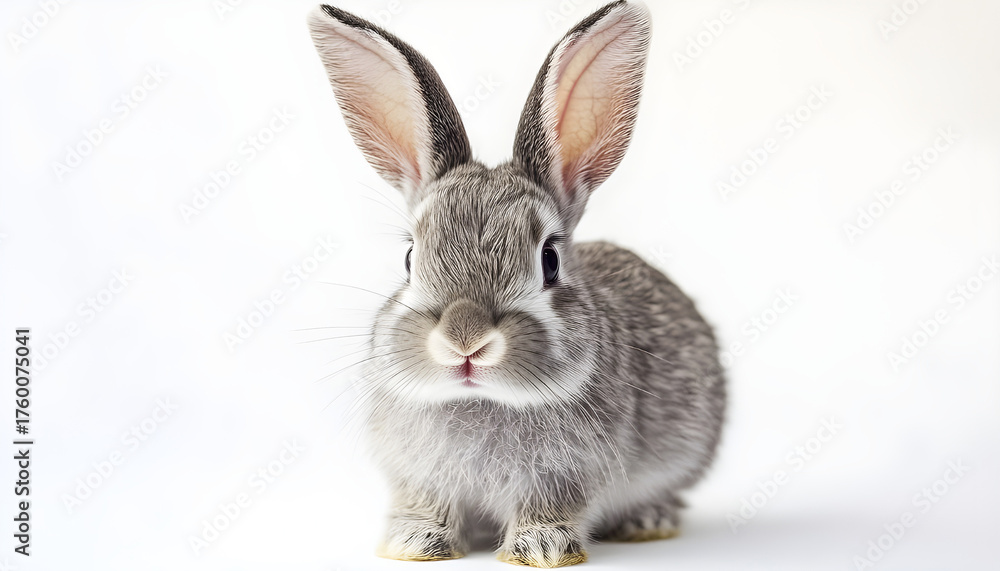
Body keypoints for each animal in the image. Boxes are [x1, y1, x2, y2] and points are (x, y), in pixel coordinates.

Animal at [307, 1, 726, 567]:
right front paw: (413, 543)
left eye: (549, 260)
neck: (482, 400)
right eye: (410, 257)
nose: (464, 341)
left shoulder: (564, 474)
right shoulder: (418, 474)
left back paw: (647, 522)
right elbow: (427, 504)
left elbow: (548, 508)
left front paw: (542, 548)